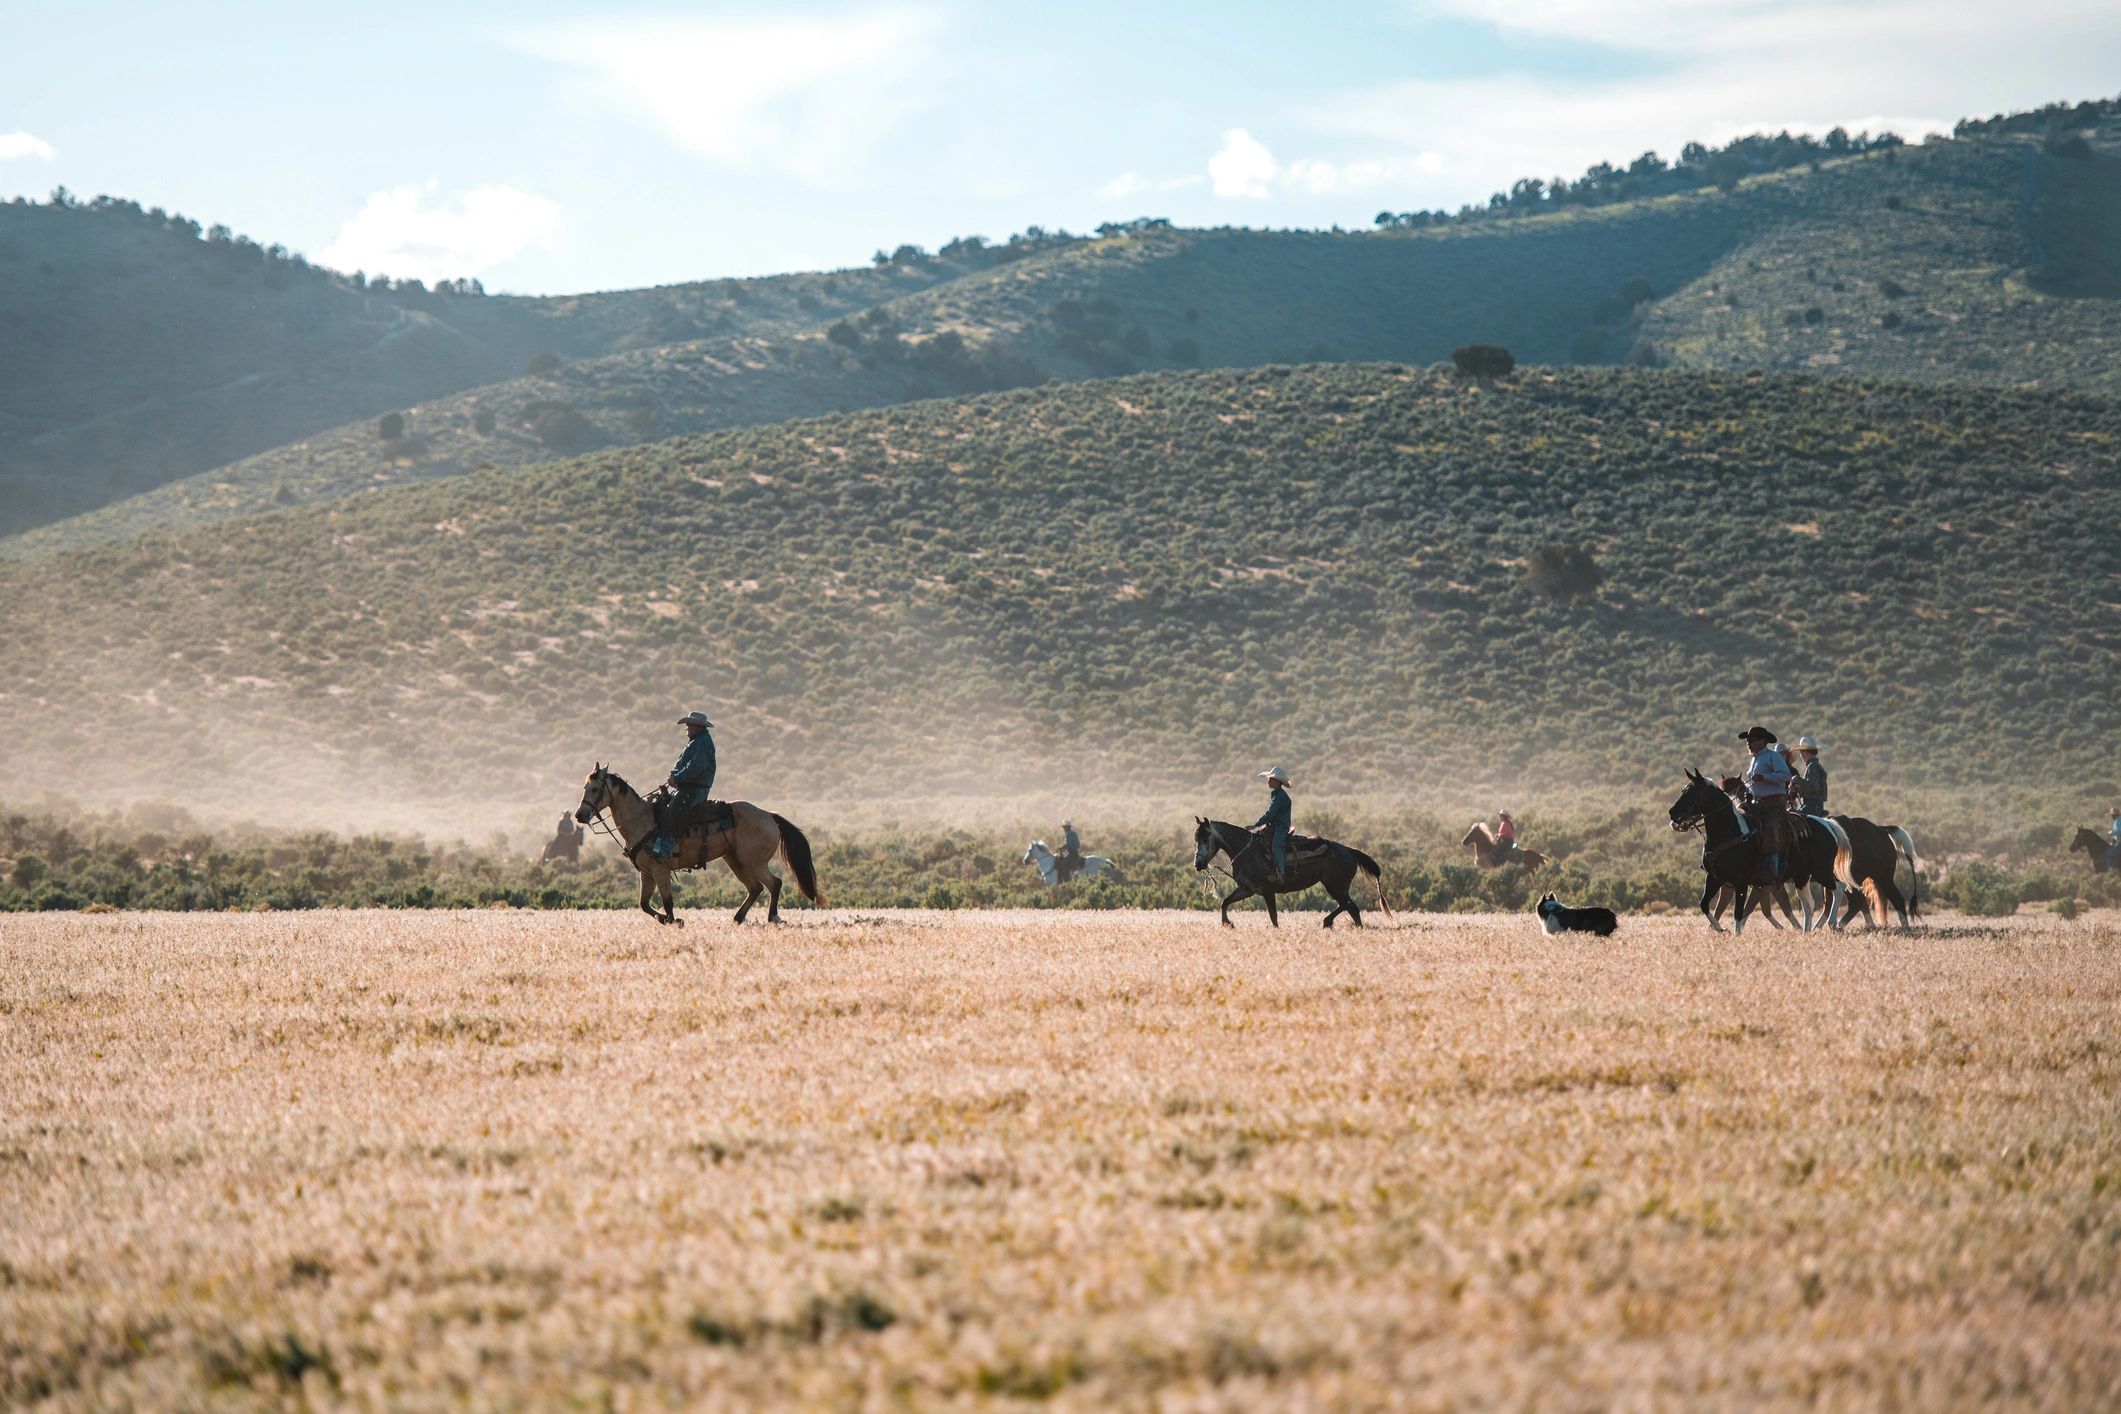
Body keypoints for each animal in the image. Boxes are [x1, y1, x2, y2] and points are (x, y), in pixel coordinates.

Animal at [574, 764, 824, 925]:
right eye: (584, 788)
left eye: (595, 789)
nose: (579, 815)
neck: (642, 820)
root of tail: (770, 816)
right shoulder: (646, 873)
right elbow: (644, 904)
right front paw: (666, 920)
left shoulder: (660, 870)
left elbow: (667, 902)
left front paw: (674, 921)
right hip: (735, 860)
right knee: (756, 888)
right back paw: (738, 918)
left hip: (754, 862)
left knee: (774, 884)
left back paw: (772, 917)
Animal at [1193, 817, 1388, 928]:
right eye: (1196, 838)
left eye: (1206, 837)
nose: (1198, 864)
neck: (1247, 850)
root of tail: (1349, 851)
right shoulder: (1247, 889)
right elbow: (1224, 902)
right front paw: (1227, 924)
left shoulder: (1267, 890)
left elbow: (1273, 916)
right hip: (1336, 887)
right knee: (1346, 905)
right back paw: (1327, 922)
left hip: (1336, 886)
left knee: (1352, 908)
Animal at [1668, 770, 1852, 933]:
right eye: (1683, 790)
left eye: (1693, 792)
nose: (1672, 813)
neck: (1729, 831)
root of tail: (1828, 824)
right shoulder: (1715, 878)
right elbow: (1704, 905)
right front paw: (1720, 929)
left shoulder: (1741, 882)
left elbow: (1739, 912)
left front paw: (1736, 935)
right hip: (1802, 876)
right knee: (1809, 905)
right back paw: (1806, 933)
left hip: (1821, 871)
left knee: (1839, 888)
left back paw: (1832, 923)